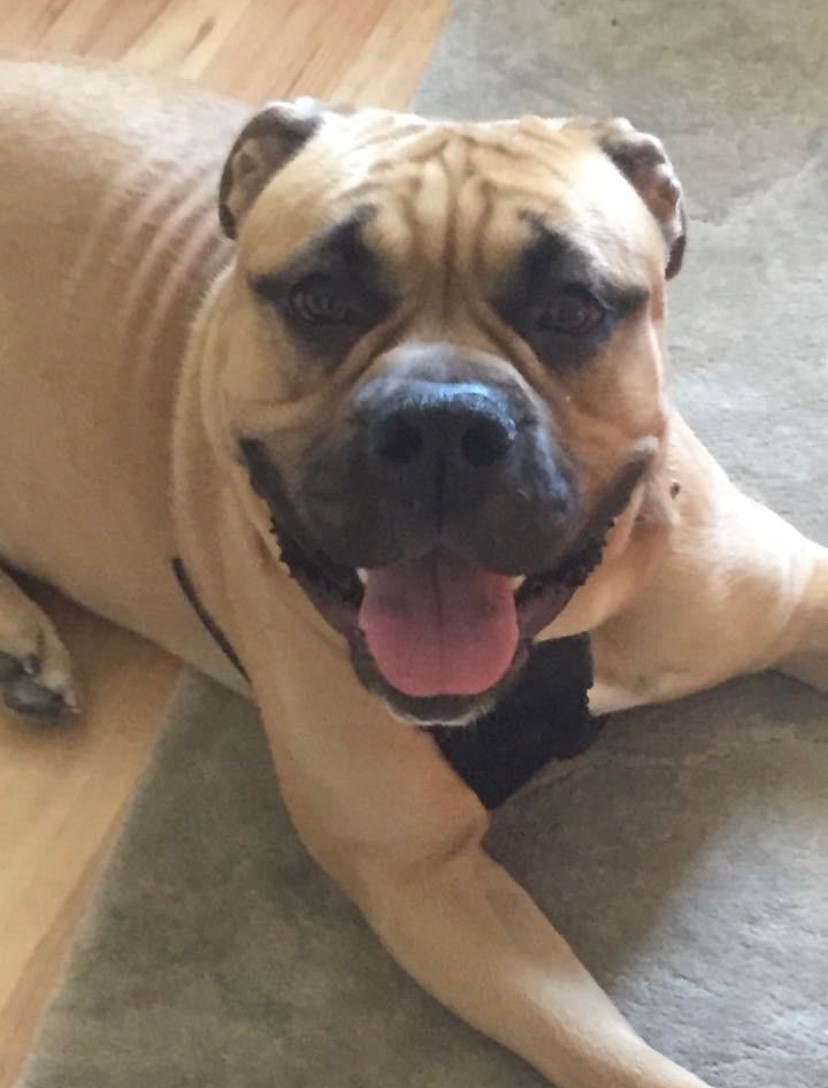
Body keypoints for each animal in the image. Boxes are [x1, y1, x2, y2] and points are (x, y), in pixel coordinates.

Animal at [0, 58, 825, 1088]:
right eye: (319, 299)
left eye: (572, 308)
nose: (441, 422)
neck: (560, 638)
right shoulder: (424, 882)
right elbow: (620, 1061)